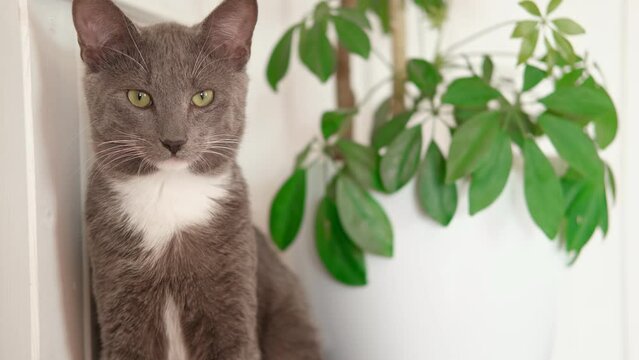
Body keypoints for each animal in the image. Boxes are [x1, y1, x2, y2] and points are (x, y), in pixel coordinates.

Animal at [72, 0, 322, 358]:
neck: (168, 192)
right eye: (138, 97)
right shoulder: (117, 289)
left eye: (203, 96)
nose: (174, 141)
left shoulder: (233, 287)